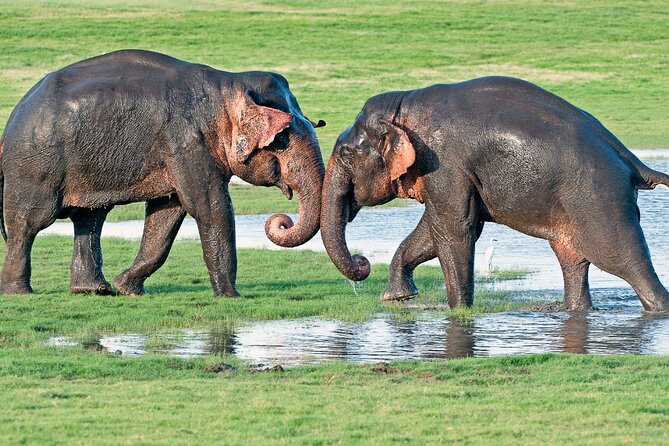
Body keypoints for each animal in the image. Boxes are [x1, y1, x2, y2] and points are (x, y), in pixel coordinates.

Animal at [0, 49, 325, 296]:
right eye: (281, 139)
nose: (281, 220)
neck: (227, 82)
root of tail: (14, 116)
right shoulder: (187, 141)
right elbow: (209, 206)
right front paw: (232, 296)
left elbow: (167, 212)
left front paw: (127, 288)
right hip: (35, 164)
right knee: (30, 222)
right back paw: (20, 293)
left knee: (90, 218)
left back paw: (96, 290)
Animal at [320, 76, 669, 312]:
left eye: (347, 155)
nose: (362, 262)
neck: (404, 107)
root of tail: (631, 160)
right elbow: (440, 230)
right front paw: (397, 297)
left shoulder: (445, 163)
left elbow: (454, 229)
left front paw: (458, 311)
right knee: (573, 260)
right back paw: (576, 311)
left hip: (598, 200)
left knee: (623, 261)